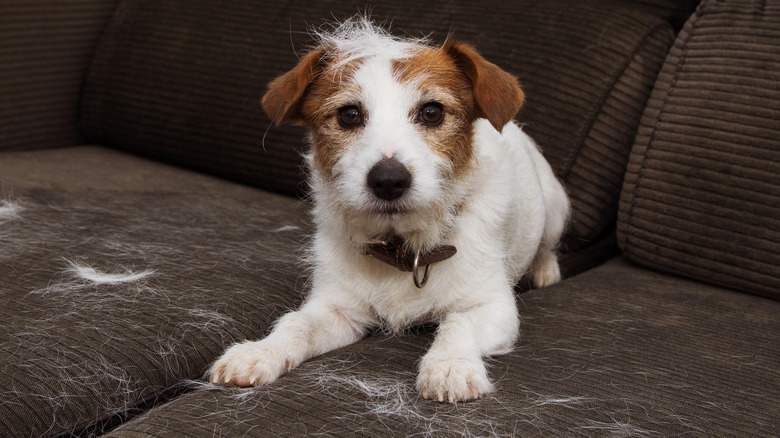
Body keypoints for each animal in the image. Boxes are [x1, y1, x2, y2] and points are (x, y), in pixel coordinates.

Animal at [210, 18, 568, 404]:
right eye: (349, 115)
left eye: (432, 112)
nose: (388, 180)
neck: (403, 247)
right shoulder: (337, 310)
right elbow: (296, 323)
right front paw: (259, 352)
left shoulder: (494, 308)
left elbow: (458, 322)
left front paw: (450, 365)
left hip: (555, 206)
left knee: (547, 245)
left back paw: (545, 271)